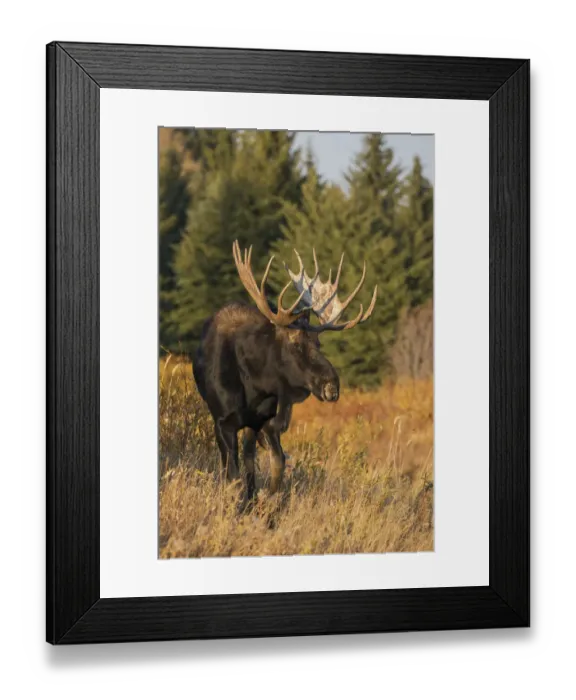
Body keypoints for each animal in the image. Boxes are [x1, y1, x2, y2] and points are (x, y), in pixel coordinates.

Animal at [192, 240, 378, 501]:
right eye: (296, 344)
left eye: (318, 343)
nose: (332, 385)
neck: (255, 386)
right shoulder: (222, 422)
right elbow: (233, 479)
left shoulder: (266, 421)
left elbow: (275, 466)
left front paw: (266, 501)